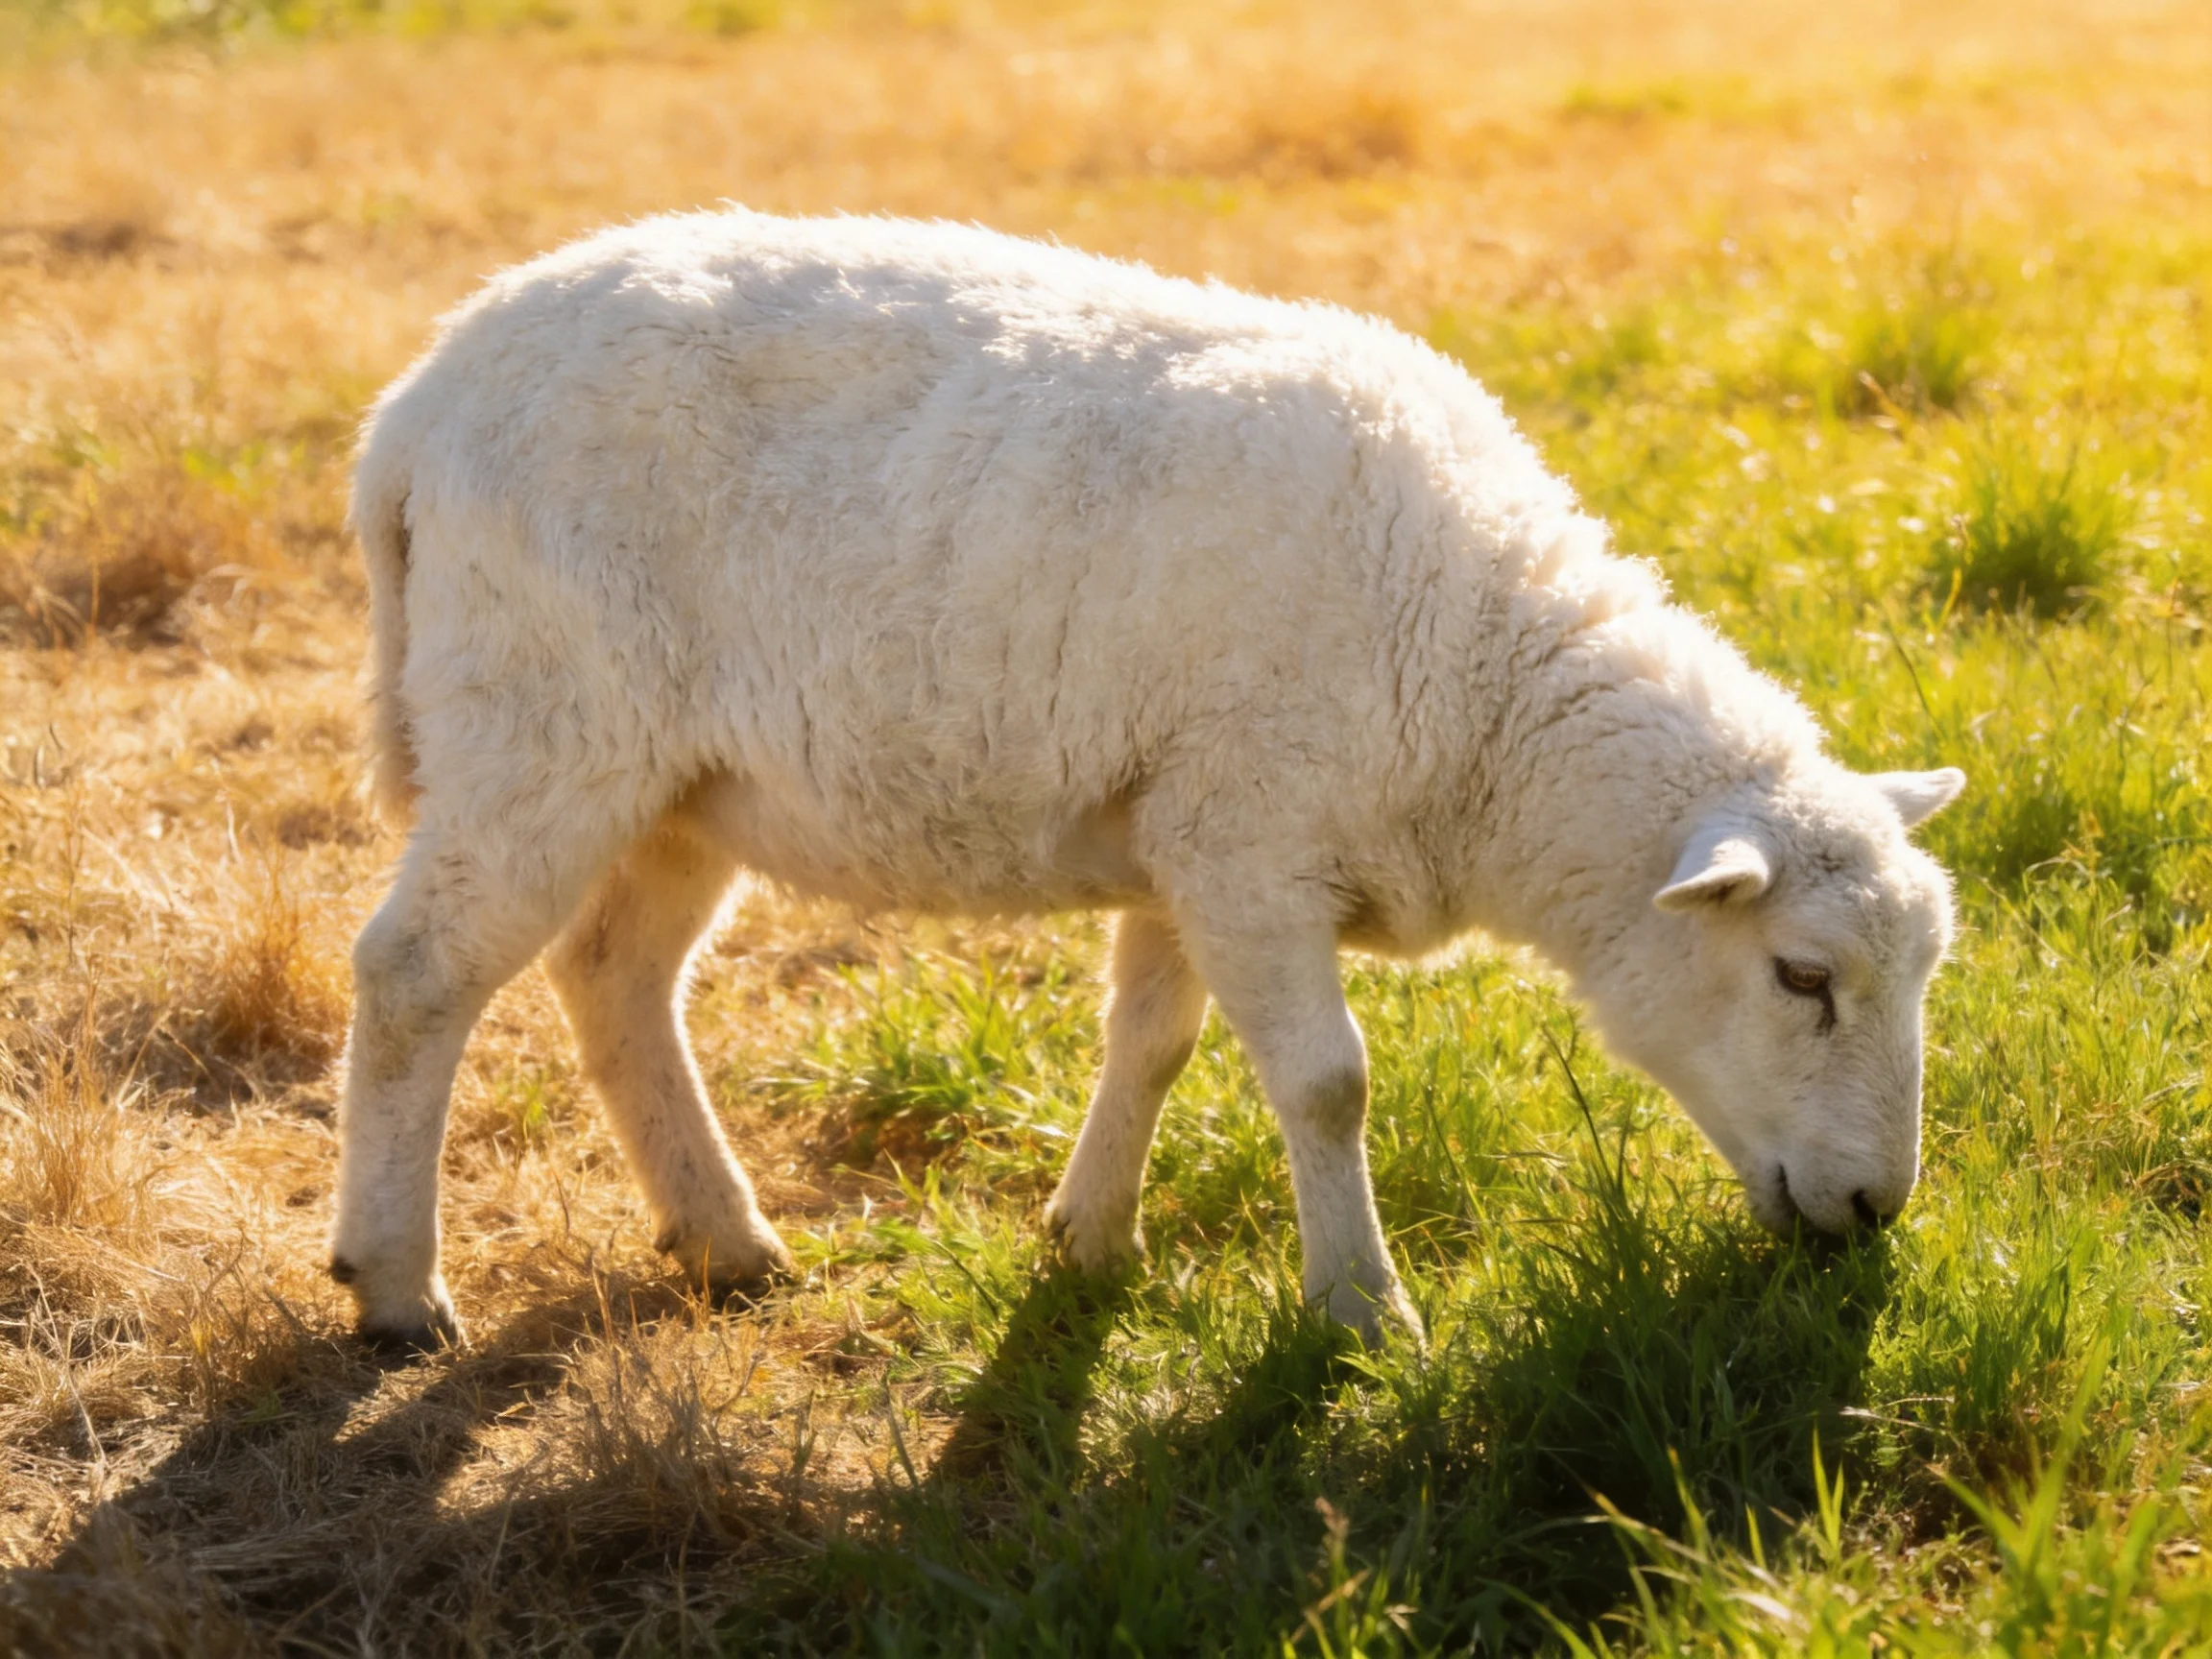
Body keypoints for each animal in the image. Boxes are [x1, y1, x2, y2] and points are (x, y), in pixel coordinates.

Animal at [332, 208, 1964, 1350]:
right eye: (1802, 977)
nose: (1876, 1211)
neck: (1484, 682)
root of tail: (415, 403)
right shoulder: (1250, 834)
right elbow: (1328, 1083)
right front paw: (1363, 1312)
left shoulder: (1183, 831)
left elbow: (1155, 1045)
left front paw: (1093, 1241)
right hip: (539, 723)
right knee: (415, 975)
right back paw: (397, 1289)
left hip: (679, 779)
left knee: (614, 977)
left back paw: (724, 1239)